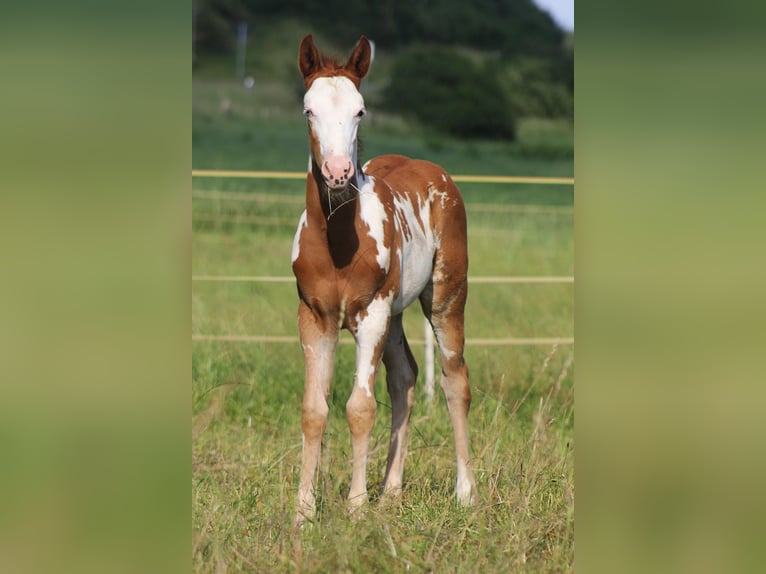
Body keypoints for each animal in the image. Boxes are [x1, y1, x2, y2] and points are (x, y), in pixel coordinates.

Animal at [296, 35, 480, 532]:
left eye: (360, 110)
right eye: (308, 110)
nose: (338, 172)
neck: (339, 242)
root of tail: (434, 170)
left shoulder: (371, 313)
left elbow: (359, 408)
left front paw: (356, 507)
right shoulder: (314, 318)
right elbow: (314, 410)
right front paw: (302, 512)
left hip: (446, 297)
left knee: (455, 380)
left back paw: (466, 493)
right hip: (397, 314)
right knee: (406, 378)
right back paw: (391, 491)